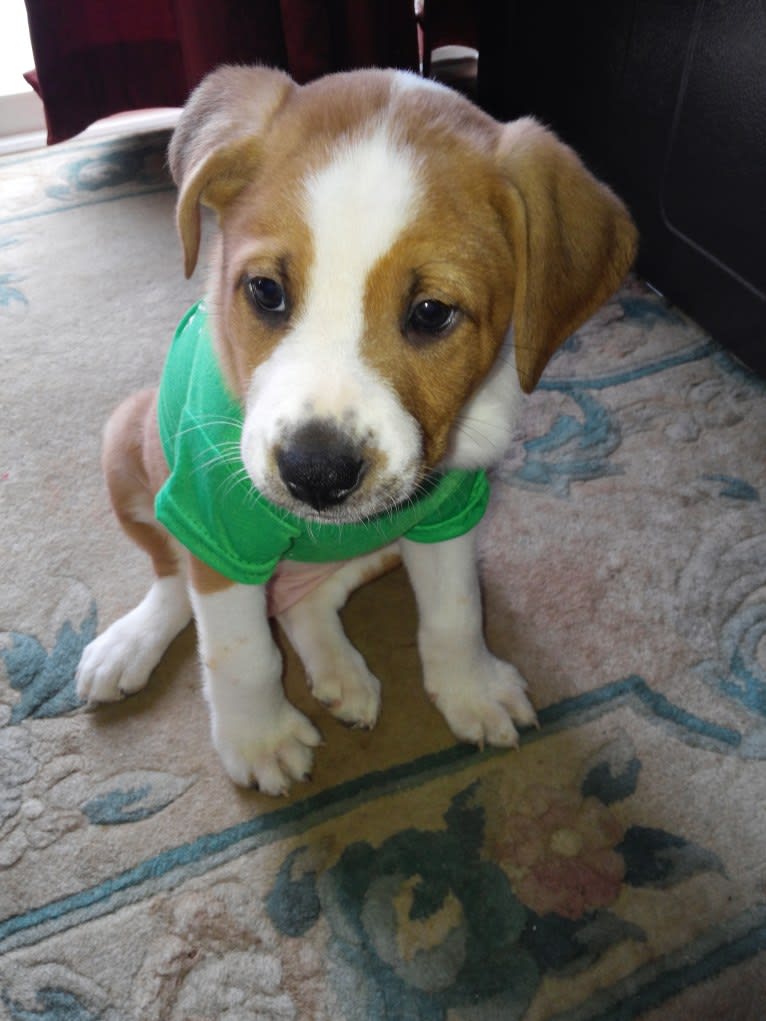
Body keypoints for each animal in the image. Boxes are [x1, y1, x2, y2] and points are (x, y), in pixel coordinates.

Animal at [75, 67, 637, 792]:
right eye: (265, 291)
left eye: (431, 311)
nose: (316, 474)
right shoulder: (218, 525)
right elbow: (239, 650)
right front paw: (258, 737)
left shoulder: (446, 513)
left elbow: (456, 611)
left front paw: (470, 688)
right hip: (129, 440)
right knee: (173, 576)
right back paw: (131, 644)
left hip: (380, 540)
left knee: (305, 601)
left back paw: (342, 672)